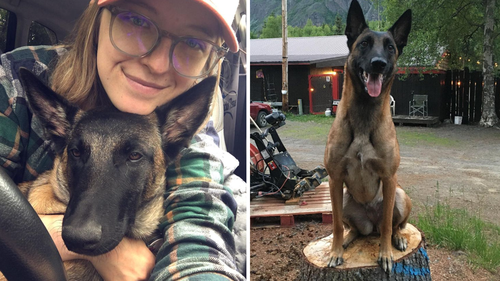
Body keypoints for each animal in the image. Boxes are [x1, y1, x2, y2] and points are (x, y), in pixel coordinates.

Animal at [326, 0, 412, 272]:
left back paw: (397, 238)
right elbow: (335, 225)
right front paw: (335, 252)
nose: (378, 63)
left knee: (392, 225)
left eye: (390, 47)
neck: (364, 114)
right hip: (344, 199)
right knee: (353, 229)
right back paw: (346, 240)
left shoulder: (389, 178)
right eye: (364, 43)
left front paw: (385, 254)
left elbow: (387, 225)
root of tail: (370, 222)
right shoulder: (334, 179)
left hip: (399, 195)